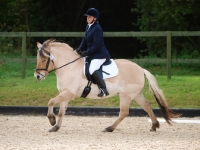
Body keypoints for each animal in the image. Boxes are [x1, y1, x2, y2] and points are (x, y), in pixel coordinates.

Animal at [34, 38, 181, 132]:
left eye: (44, 59)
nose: (37, 76)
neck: (69, 67)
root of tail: (140, 69)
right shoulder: (65, 94)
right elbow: (61, 111)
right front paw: (55, 127)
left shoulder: (69, 93)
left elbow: (50, 101)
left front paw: (51, 120)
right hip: (136, 94)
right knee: (146, 105)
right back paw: (154, 125)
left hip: (126, 95)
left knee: (124, 112)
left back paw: (109, 128)